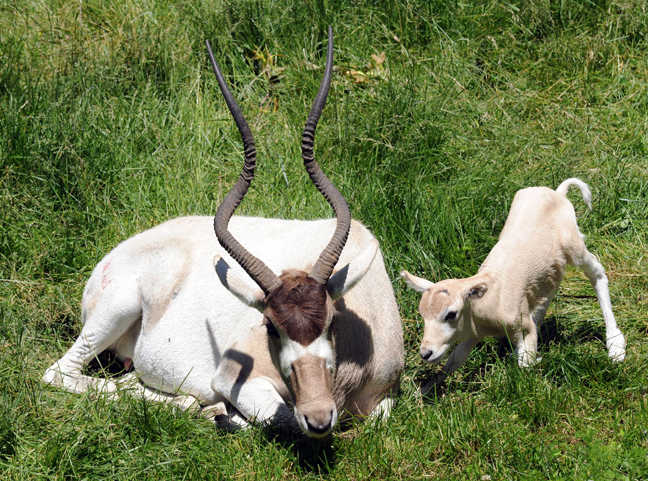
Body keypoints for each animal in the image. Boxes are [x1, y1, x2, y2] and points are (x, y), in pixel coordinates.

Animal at [402, 179, 624, 386]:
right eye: (422, 314)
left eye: (451, 314)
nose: (426, 353)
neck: (490, 300)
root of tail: (558, 192)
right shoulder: (473, 333)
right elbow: (454, 361)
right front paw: (424, 391)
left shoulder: (522, 327)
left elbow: (524, 367)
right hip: (552, 267)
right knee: (553, 285)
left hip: (574, 245)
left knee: (597, 272)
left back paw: (615, 344)